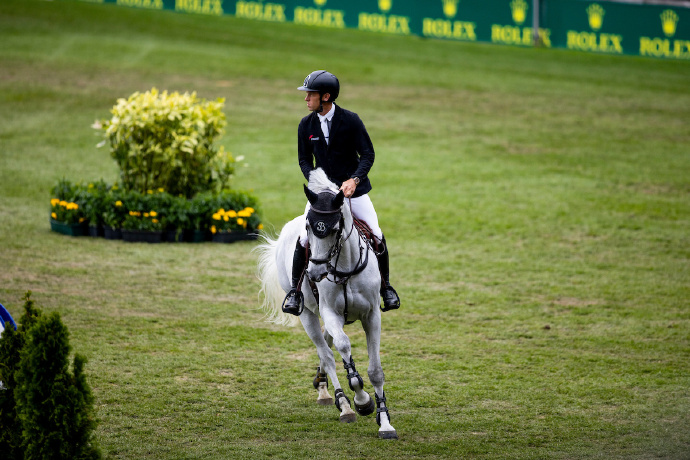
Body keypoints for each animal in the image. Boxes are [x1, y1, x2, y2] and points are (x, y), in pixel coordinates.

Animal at [256, 168, 398, 438]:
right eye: (309, 228)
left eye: (334, 229)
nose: (314, 273)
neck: (344, 266)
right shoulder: (330, 312)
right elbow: (343, 347)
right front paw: (362, 401)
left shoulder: (372, 315)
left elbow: (375, 370)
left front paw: (385, 422)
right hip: (307, 314)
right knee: (327, 352)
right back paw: (343, 404)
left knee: (326, 343)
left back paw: (322, 383)